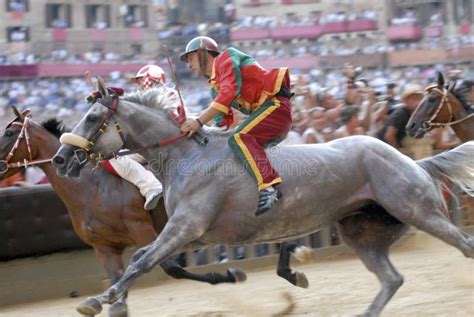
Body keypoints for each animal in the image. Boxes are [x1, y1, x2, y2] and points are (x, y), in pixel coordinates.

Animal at [53, 80, 474, 314]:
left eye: (92, 118)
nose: (60, 158)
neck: (186, 156)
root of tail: (410, 160)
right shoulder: (194, 234)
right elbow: (145, 257)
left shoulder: (186, 226)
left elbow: (141, 262)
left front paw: (99, 299)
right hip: (363, 231)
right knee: (391, 279)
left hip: (418, 210)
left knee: (464, 245)